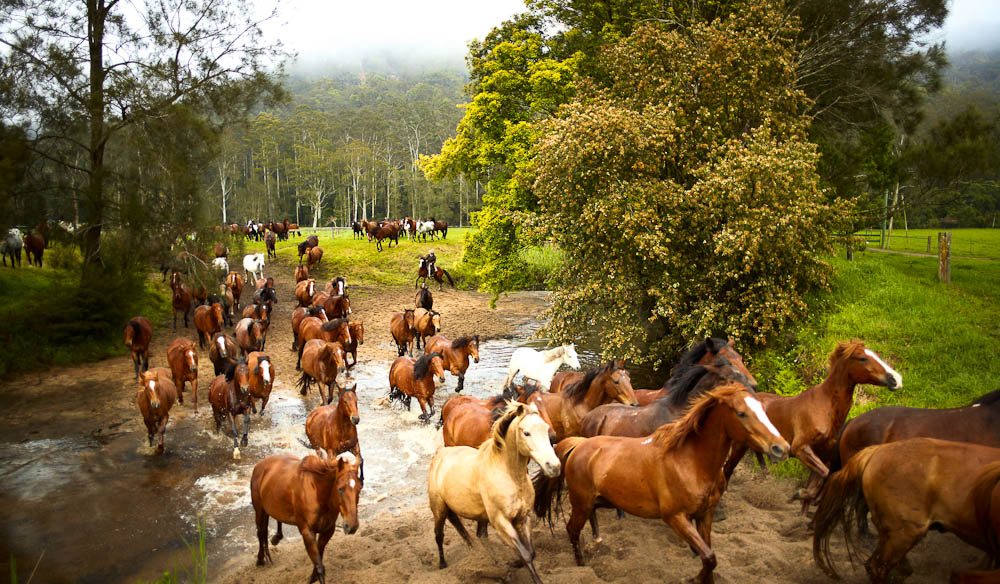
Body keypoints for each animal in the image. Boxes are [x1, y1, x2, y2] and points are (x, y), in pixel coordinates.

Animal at [251, 450, 362, 584]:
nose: (352, 526)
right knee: (260, 532)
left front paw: (312, 578)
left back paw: (276, 539)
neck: (317, 493)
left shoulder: (327, 531)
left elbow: (319, 559)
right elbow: (319, 567)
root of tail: (260, 465)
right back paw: (260, 560)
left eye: (359, 489)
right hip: (259, 510)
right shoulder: (307, 532)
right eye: (340, 489)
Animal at [428, 402, 560, 584]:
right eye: (526, 432)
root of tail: (439, 456)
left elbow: (530, 552)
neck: (509, 475)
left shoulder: (523, 517)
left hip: (478, 515)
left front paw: (512, 565)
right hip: (439, 508)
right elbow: (526, 554)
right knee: (439, 535)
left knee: (478, 535)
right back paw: (443, 564)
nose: (554, 466)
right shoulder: (500, 521)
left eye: (546, 429)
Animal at [533, 383, 788, 583]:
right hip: (581, 501)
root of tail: (578, 444)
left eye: (763, 409)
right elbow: (708, 557)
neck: (690, 462)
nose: (781, 448)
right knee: (572, 530)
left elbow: (709, 556)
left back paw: (597, 541)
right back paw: (582, 564)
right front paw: (693, 578)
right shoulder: (675, 517)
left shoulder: (705, 514)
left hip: (598, 500)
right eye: (741, 413)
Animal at [727, 340, 902, 510]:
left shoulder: (821, 454)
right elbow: (824, 475)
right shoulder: (800, 448)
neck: (824, 406)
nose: (896, 379)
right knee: (727, 469)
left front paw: (801, 497)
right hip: (738, 446)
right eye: (863, 358)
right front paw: (797, 495)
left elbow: (816, 484)